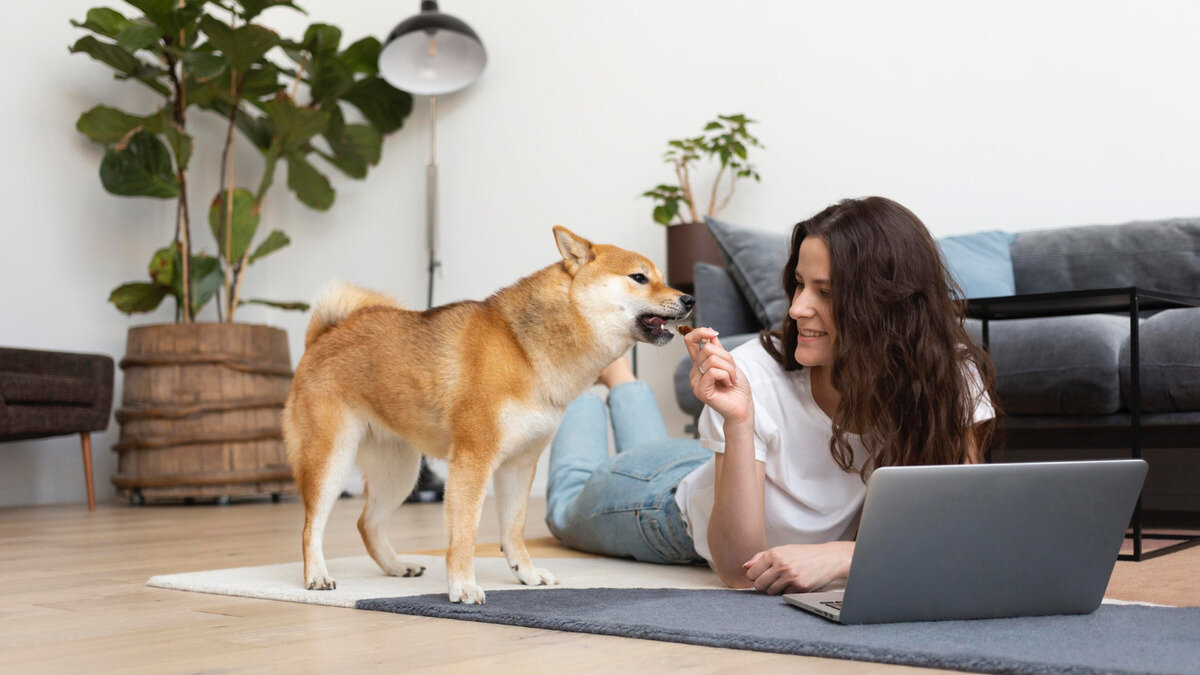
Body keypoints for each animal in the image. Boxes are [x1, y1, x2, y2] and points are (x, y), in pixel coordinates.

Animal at [283, 224, 696, 598]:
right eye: (639, 277)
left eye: (662, 278)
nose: (689, 299)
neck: (522, 349)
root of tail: (323, 337)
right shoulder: (473, 459)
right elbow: (465, 532)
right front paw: (463, 585)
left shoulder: (519, 465)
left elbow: (513, 529)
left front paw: (526, 574)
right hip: (333, 459)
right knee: (310, 527)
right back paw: (316, 575)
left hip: (399, 472)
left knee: (367, 524)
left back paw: (397, 566)